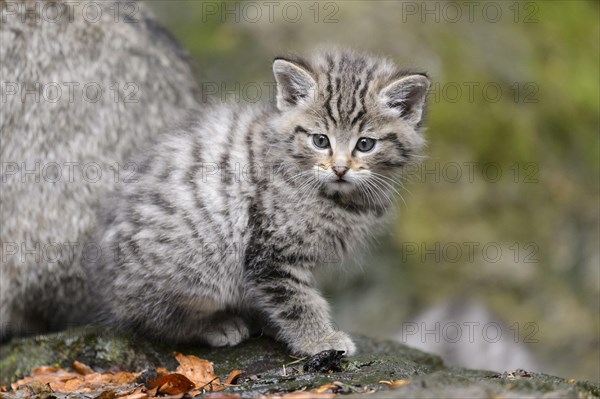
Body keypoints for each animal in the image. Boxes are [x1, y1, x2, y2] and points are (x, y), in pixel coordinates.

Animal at [88, 47, 426, 356]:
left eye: (365, 145)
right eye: (320, 140)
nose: (340, 168)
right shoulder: (271, 251)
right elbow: (296, 300)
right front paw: (320, 340)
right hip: (196, 264)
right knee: (153, 320)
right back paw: (215, 325)